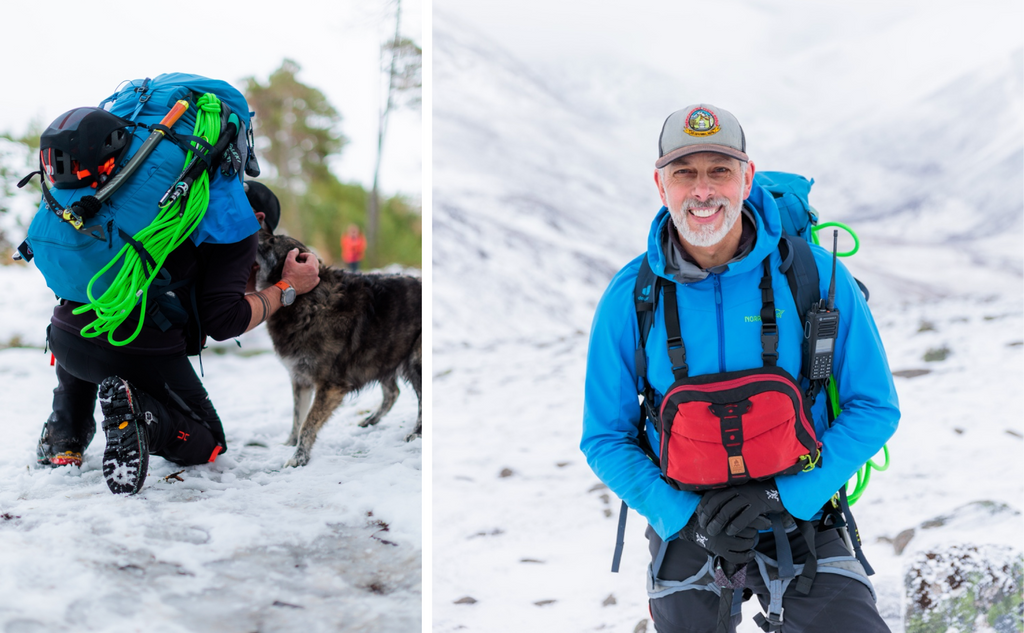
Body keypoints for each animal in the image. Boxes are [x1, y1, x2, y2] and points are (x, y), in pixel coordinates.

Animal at [256, 230, 423, 462]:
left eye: (272, 242)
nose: (255, 231)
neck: (308, 301)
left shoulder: (330, 386)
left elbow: (308, 423)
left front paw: (299, 458)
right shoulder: (300, 379)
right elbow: (297, 418)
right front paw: (290, 445)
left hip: (414, 362)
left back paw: (416, 433)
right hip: (381, 355)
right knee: (393, 392)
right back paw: (370, 420)